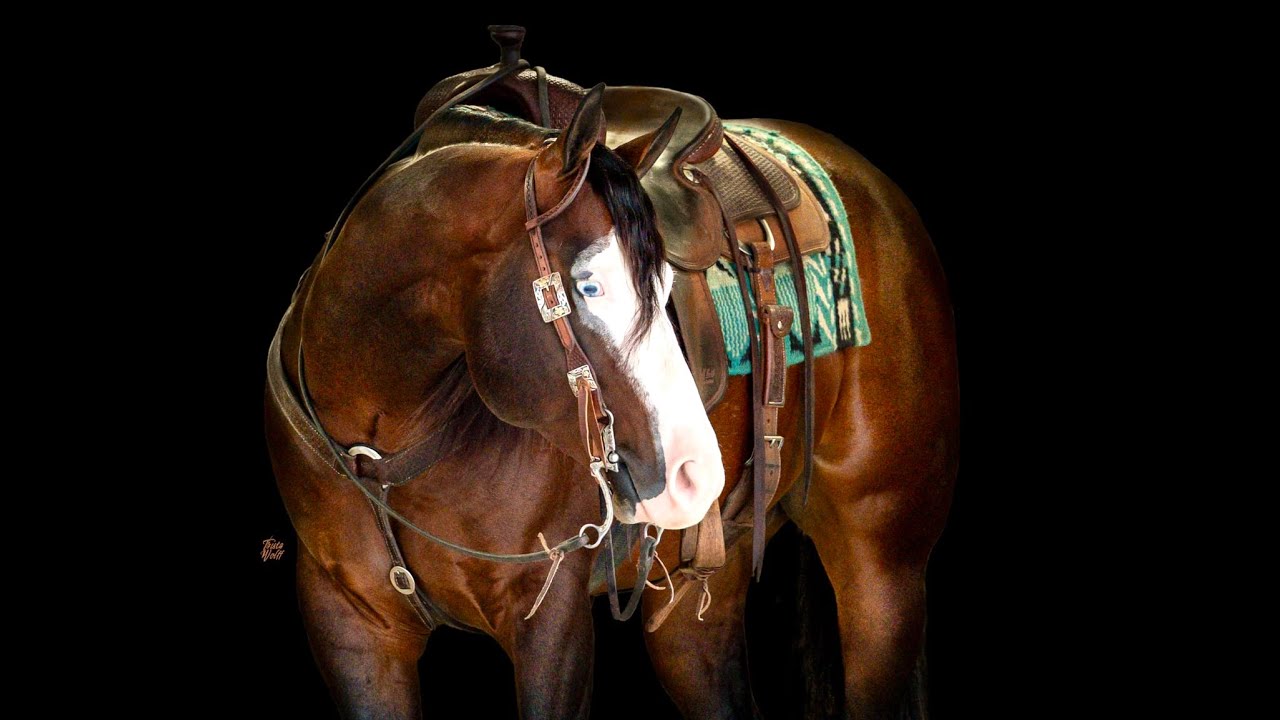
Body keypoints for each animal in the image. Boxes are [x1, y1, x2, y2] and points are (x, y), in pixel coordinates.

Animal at [265, 29, 958, 720]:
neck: (383, 441)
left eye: (665, 283)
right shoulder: (352, 630)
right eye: (589, 285)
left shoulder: (549, 619)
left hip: (882, 573)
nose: (695, 473)